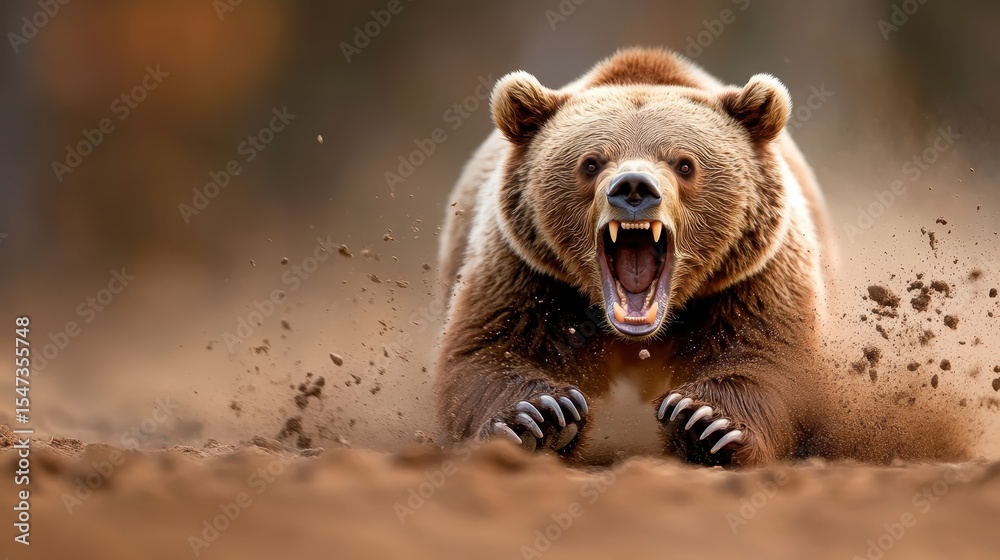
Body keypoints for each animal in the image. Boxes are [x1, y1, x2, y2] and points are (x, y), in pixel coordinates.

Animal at [434, 48, 964, 467]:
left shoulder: (752, 273)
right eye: (591, 162)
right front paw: (542, 418)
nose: (633, 188)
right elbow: (487, 352)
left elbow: (767, 357)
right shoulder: (527, 270)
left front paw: (704, 423)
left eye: (684, 163)